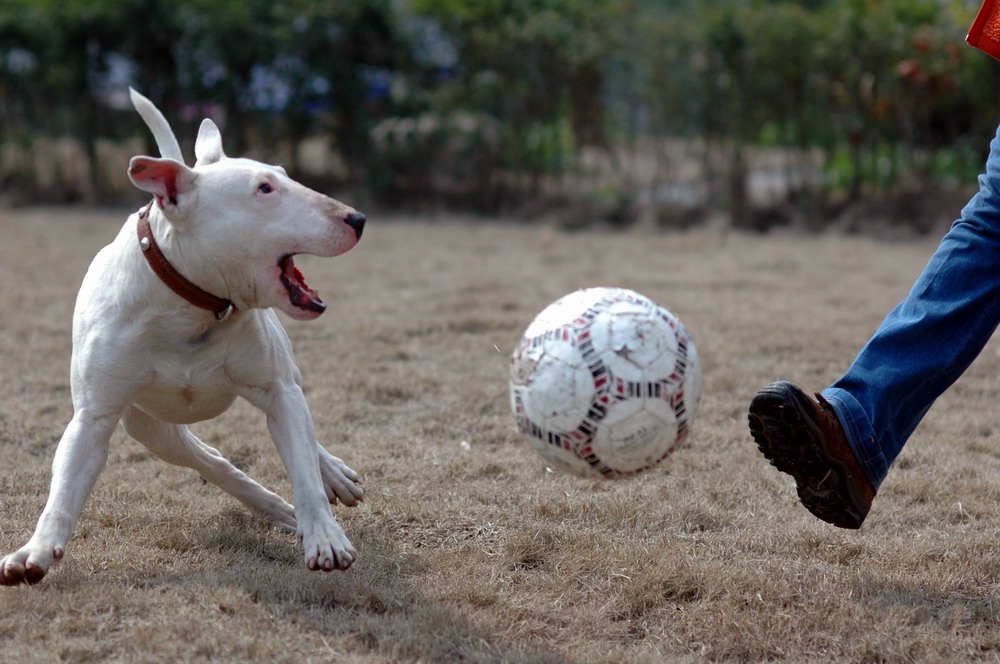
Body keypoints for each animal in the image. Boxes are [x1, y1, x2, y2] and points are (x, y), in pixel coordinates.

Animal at [0, 89, 368, 588]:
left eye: (286, 176)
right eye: (264, 189)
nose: (357, 218)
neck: (192, 307)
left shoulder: (278, 388)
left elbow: (304, 466)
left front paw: (325, 538)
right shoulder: (94, 419)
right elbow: (63, 491)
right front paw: (34, 552)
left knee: (300, 439)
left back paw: (328, 477)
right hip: (152, 428)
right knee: (212, 460)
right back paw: (275, 507)